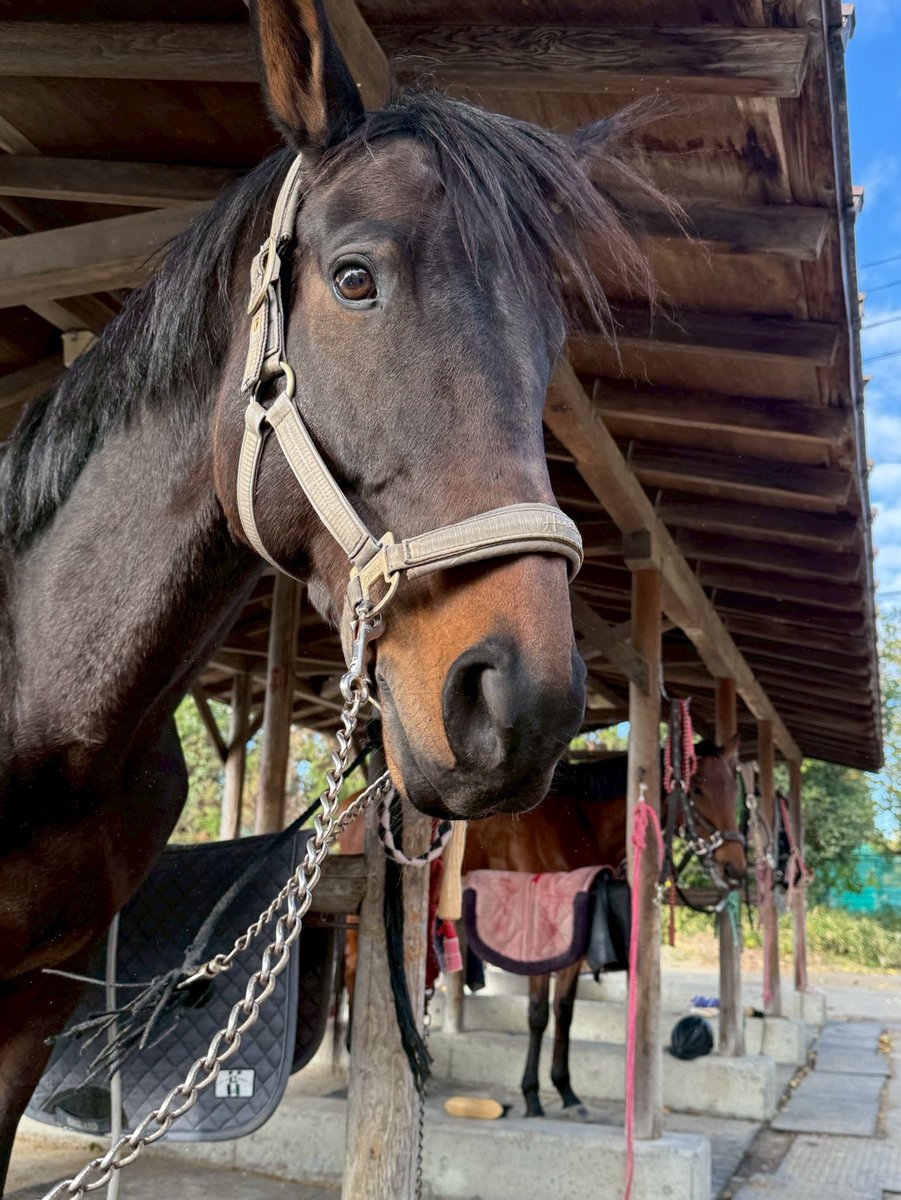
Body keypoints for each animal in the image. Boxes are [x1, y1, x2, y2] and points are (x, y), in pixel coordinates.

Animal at [461, 737, 746, 1119]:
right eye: (697, 788)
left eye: (735, 790)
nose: (735, 868)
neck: (577, 824)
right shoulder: (538, 934)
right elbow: (538, 1015)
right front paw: (532, 1096)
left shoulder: (573, 937)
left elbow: (564, 1011)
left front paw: (566, 1091)